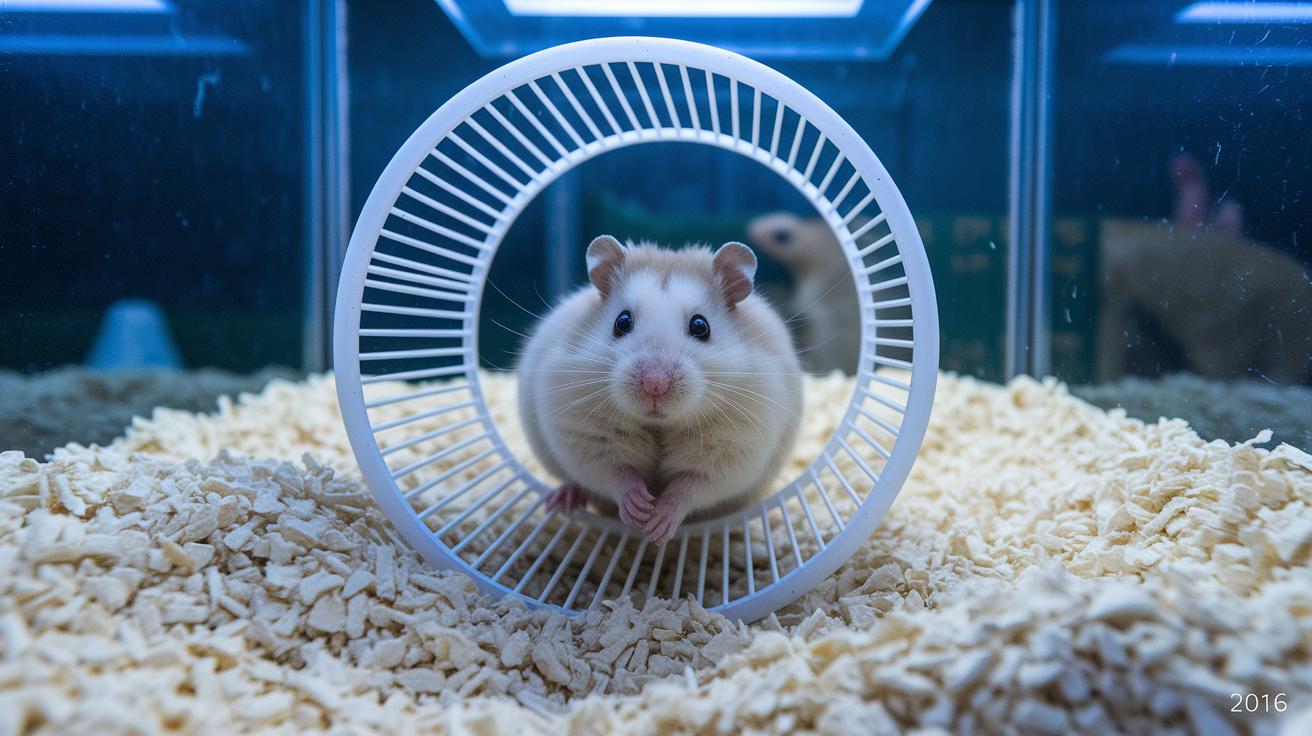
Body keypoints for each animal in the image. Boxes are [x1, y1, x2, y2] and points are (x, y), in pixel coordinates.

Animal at [517, 236, 803, 545]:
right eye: (622, 322)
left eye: (701, 326)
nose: (655, 384)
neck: (659, 425)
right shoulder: (585, 438)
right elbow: (616, 473)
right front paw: (639, 509)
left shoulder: (732, 449)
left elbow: (689, 486)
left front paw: (657, 525)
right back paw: (562, 499)